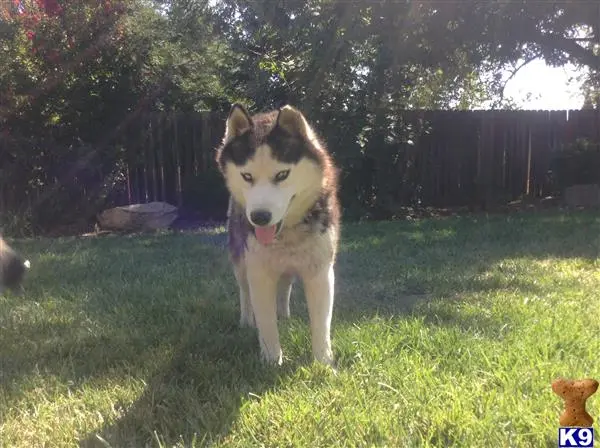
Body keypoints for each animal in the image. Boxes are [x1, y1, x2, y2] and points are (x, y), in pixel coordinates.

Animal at [216, 103, 340, 366]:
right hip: (240, 259)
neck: (287, 234)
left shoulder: (321, 273)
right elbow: (266, 323)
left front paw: (323, 363)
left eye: (282, 175)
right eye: (247, 176)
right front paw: (272, 361)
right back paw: (246, 320)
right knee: (244, 291)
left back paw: (284, 315)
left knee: (285, 285)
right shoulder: (259, 273)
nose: (259, 217)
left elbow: (321, 324)